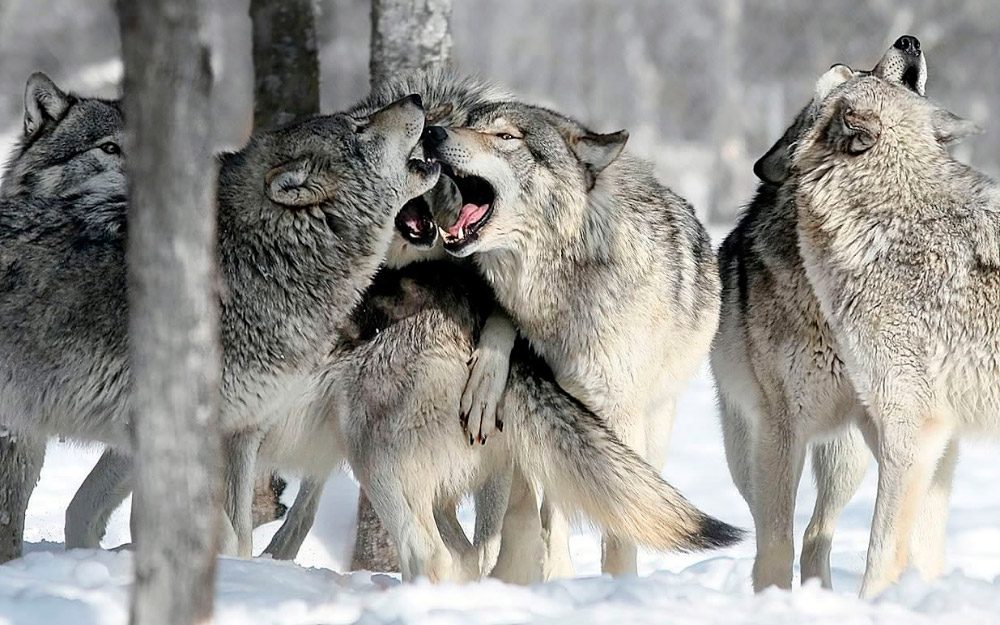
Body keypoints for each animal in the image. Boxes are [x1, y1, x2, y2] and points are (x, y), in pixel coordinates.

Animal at [0, 71, 438, 557]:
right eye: (358, 128)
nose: (416, 98)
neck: (256, 257)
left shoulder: (241, 434)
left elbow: (240, 534)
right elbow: (221, 534)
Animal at [423, 98, 721, 580]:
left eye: (506, 137)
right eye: (468, 124)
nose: (431, 132)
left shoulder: (617, 413)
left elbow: (619, 528)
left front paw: (617, 585)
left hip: (650, 430)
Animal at [710, 36, 934, 592]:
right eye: (847, 77)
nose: (909, 41)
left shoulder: (888, 417)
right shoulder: (781, 430)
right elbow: (774, 542)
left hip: (845, 455)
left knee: (818, 532)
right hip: (746, 451)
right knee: (774, 526)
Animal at [792, 71, 985, 597]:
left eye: (846, 85)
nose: (841, 65)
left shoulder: (911, 426)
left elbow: (881, 550)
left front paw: (870, 604)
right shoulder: (932, 434)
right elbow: (921, 547)